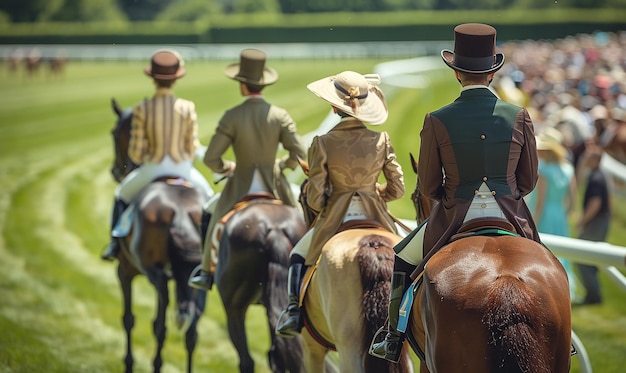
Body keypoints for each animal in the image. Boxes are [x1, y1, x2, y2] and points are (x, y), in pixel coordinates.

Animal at [108, 97, 205, 370]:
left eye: (114, 133)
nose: (114, 171)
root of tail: (180, 210)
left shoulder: (124, 270)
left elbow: (128, 318)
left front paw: (129, 363)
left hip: (154, 273)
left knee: (160, 324)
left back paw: (156, 363)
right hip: (197, 277)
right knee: (191, 332)